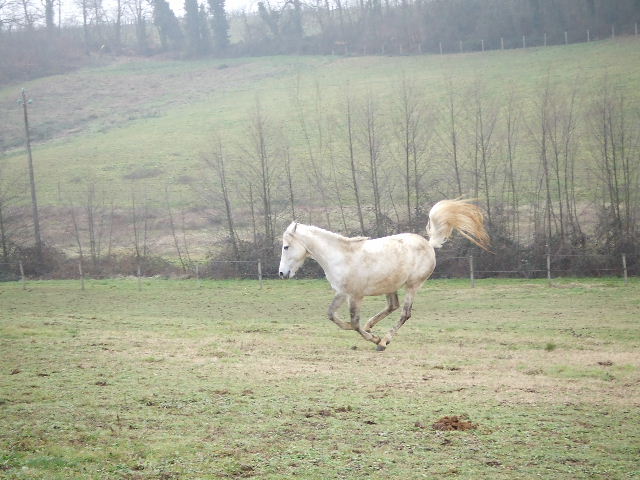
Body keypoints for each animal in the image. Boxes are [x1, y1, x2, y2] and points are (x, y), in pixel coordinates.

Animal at [276, 197, 490, 350]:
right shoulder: (342, 293)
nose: (281, 273)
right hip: (391, 286)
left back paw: (384, 340)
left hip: (412, 286)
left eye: (286, 247)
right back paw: (371, 325)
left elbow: (354, 322)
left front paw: (375, 339)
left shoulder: (355, 295)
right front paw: (368, 331)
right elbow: (332, 315)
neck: (341, 256)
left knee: (404, 313)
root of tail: (429, 244)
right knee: (392, 306)